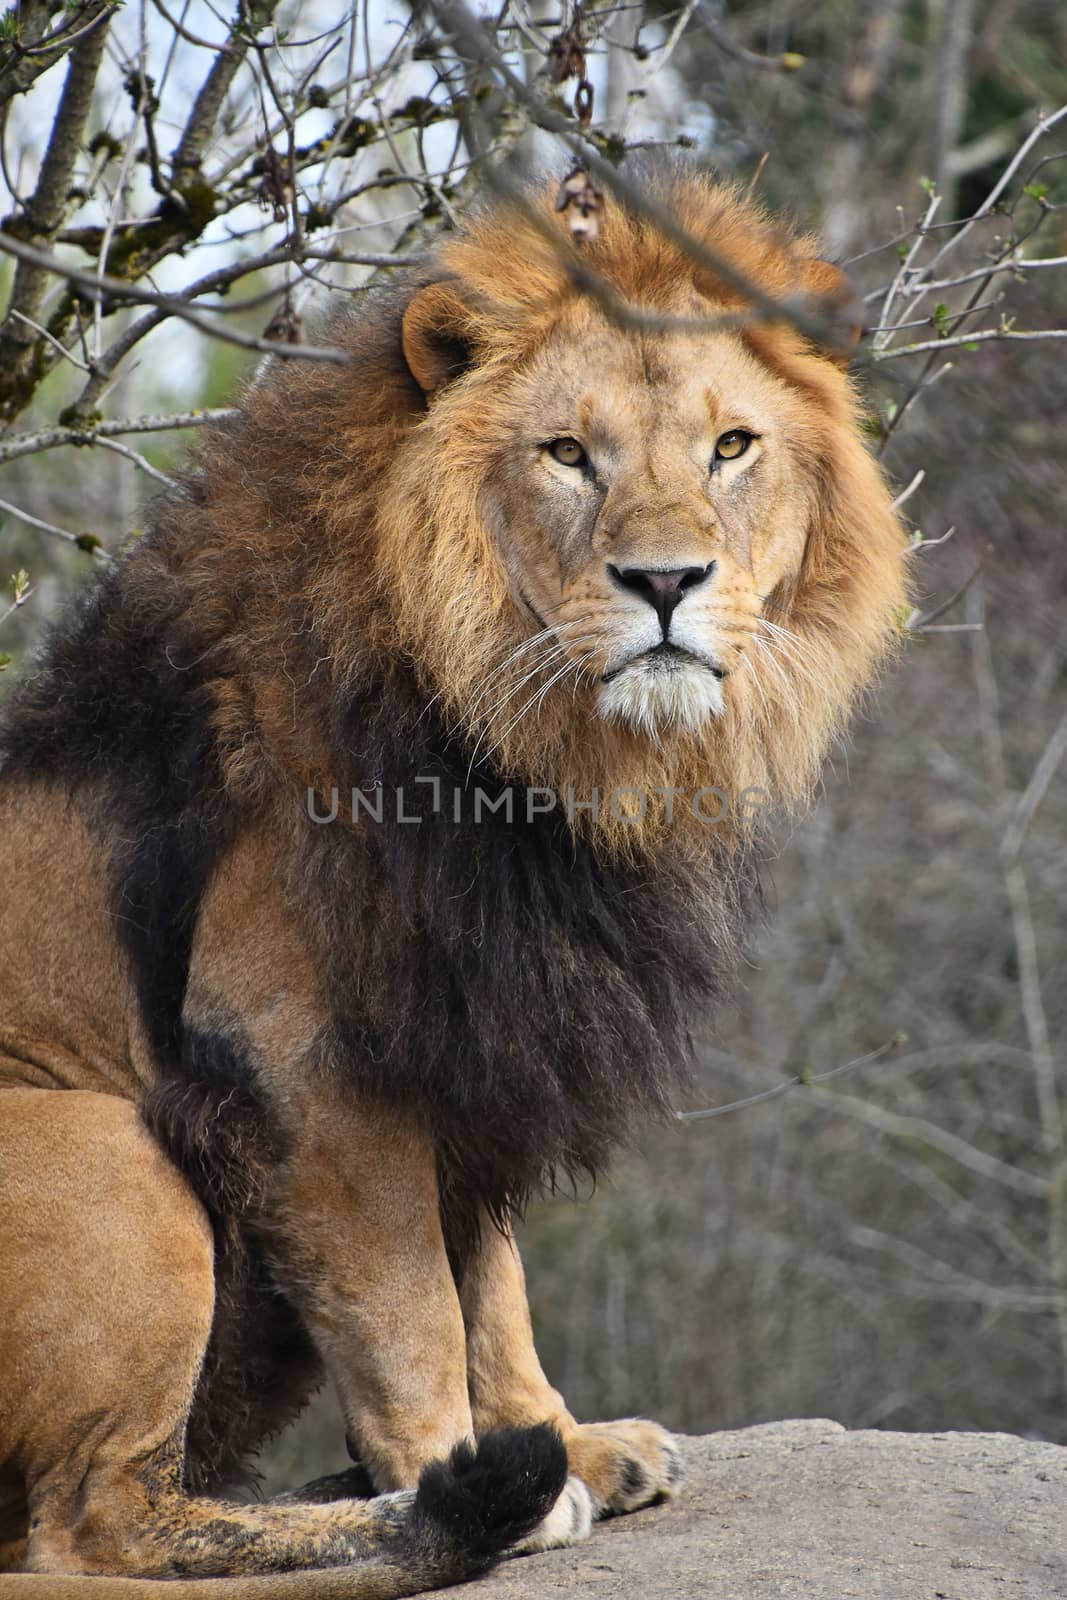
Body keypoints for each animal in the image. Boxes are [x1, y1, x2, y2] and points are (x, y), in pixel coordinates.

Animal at [0, 165, 908, 1600]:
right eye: (567, 455)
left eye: (730, 447)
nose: (665, 581)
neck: (548, 755)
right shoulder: (306, 1054)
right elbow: (411, 1303)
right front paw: (483, 1477)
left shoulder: (476, 1034)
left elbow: (490, 1279)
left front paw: (558, 1441)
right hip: (99, 1147)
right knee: (99, 1525)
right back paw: (412, 1518)